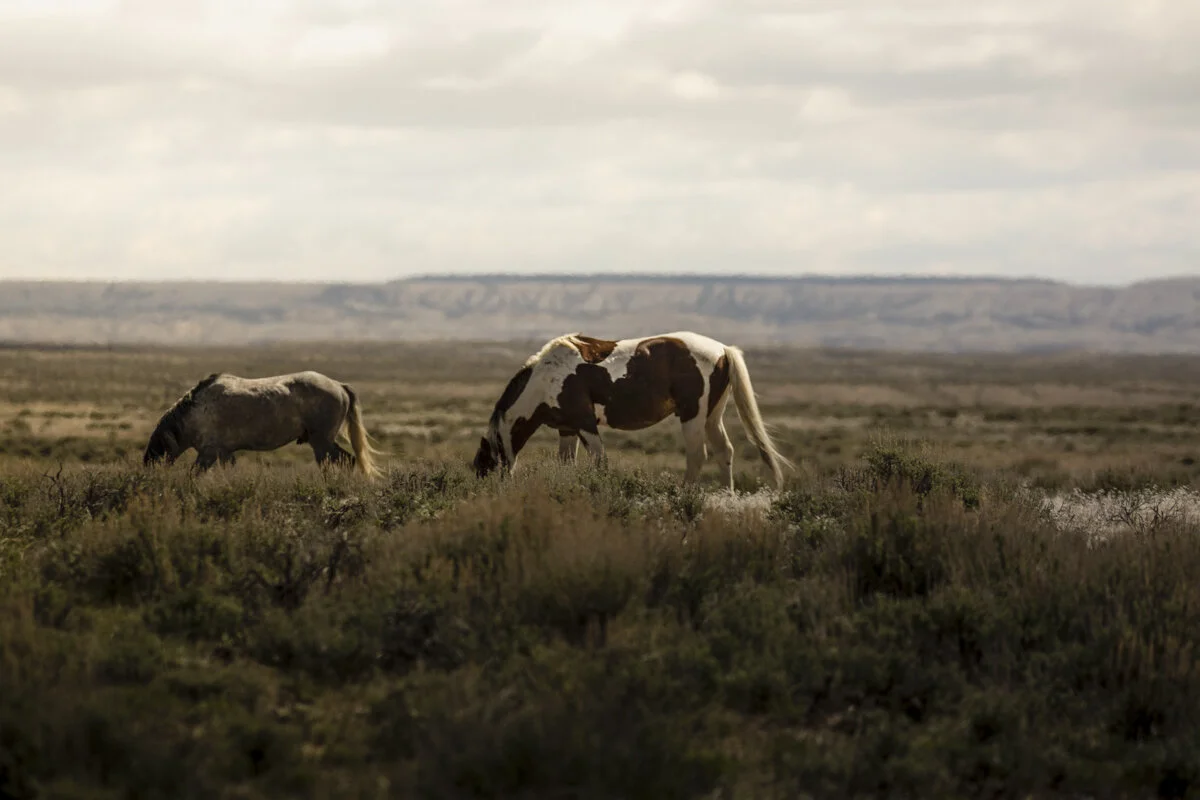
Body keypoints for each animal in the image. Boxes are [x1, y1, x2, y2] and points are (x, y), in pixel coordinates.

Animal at [143, 370, 382, 477]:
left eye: (157, 455)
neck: (197, 412)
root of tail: (338, 385)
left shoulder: (208, 453)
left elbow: (193, 475)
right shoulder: (225, 453)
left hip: (321, 442)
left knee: (337, 463)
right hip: (324, 442)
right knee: (348, 460)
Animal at [472, 331, 791, 491]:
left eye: (485, 464)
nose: (486, 493)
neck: (546, 378)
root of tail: (723, 349)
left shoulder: (586, 425)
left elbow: (600, 463)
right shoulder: (567, 428)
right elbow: (566, 464)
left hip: (693, 415)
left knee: (697, 456)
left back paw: (685, 497)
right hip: (713, 416)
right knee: (725, 452)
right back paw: (727, 496)